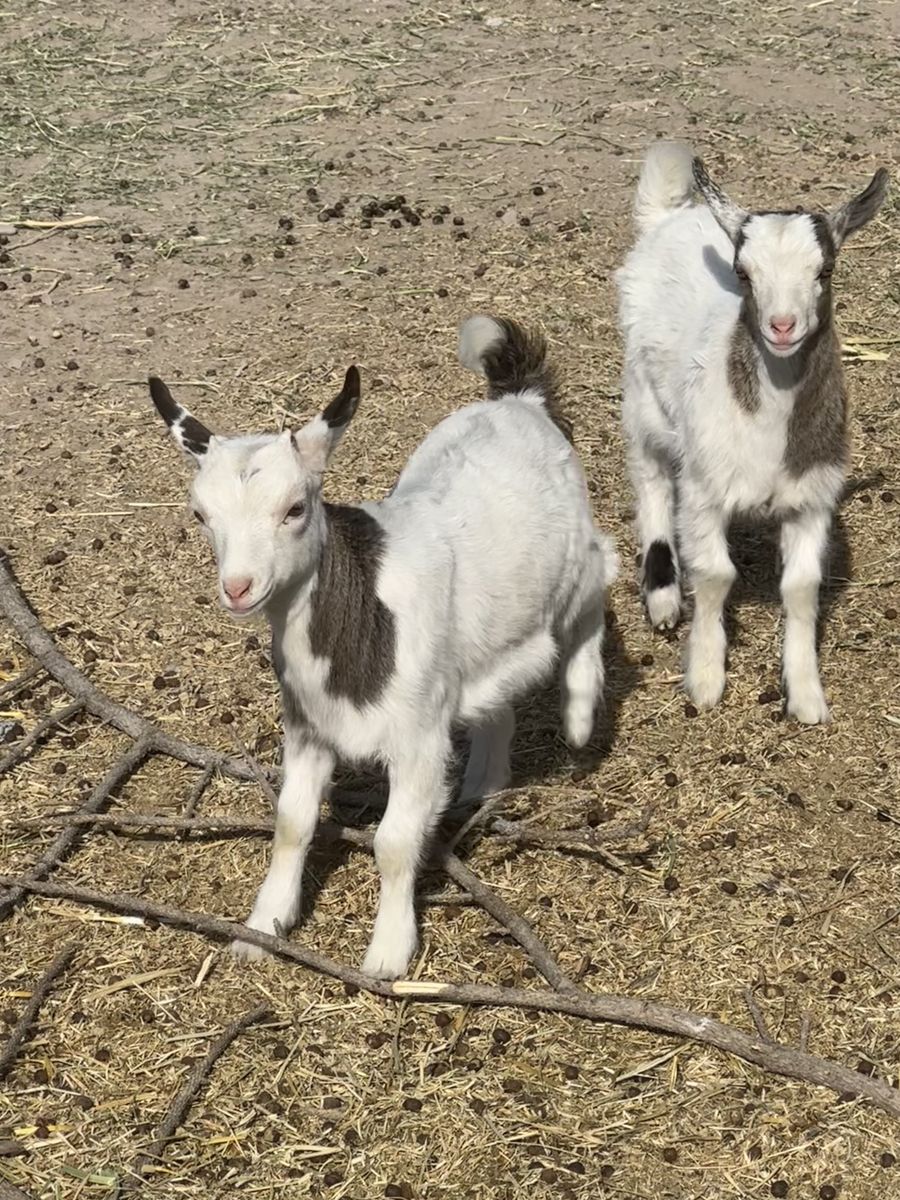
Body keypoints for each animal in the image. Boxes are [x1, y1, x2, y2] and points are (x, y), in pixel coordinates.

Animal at [149, 317, 618, 978]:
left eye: (295, 508)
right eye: (199, 515)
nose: (238, 588)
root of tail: (520, 400)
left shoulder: (417, 736)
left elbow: (394, 841)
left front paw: (388, 957)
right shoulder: (308, 726)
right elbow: (291, 822)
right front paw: (260, 931)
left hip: (577, 561)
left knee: (599, 587)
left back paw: (578, 716)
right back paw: (482, 786)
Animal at [616, 141, 888, 723]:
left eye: (826, 268)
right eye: (743, 273)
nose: (782, 327)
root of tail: (670, 216)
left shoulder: (812, 499)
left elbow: (802, 588)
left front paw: (805, 693)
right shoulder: (703, 491)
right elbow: (715, 575)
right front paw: (705, 677)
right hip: (643, 396)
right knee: (651, 478)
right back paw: (663, 596)